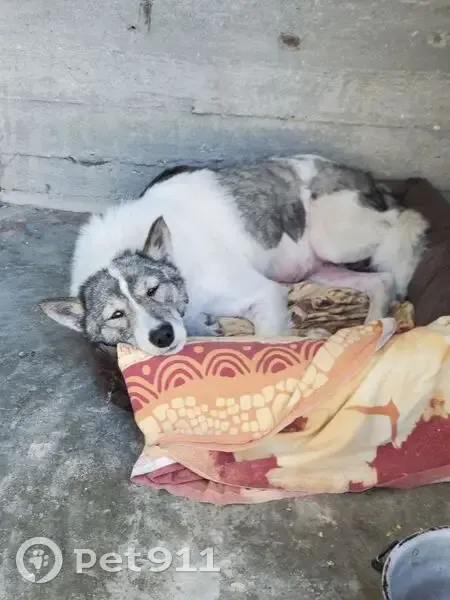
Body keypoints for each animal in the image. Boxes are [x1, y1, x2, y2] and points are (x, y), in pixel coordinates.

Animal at [40, 154, 428, 356]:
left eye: (153, 290)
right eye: (117, 314)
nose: (162, 336)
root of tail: (367, 177)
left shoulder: (265, 293)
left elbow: (266, 340)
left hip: (333, 238)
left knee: (408, 222)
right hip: (317, 269)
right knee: (382, 281)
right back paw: (373, 329)